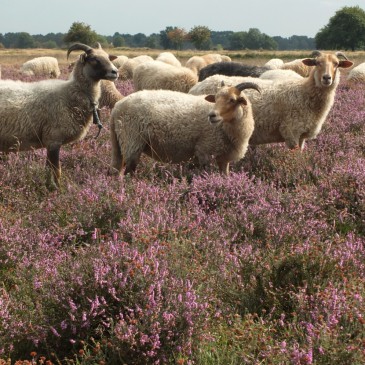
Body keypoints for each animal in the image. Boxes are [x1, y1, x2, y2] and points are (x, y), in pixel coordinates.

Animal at [0, 43, 118, 189]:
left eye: (108, 57)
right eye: (94, 59)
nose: (115, 72)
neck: (69, 94)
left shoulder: (50, 141)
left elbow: (49, 169)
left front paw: (48, 187)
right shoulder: (53, 139)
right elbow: (56, 171)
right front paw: (57, 189)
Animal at [108, 81, 258, 175]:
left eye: (232, 100)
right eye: (215, 98)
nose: (212, 115)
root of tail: (116, 108)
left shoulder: (223, 158)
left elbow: (224, 176)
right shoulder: (204, 149)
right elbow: (206, 174)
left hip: (119, 143)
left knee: (116, 170)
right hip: (132, 141)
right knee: (129, 171)